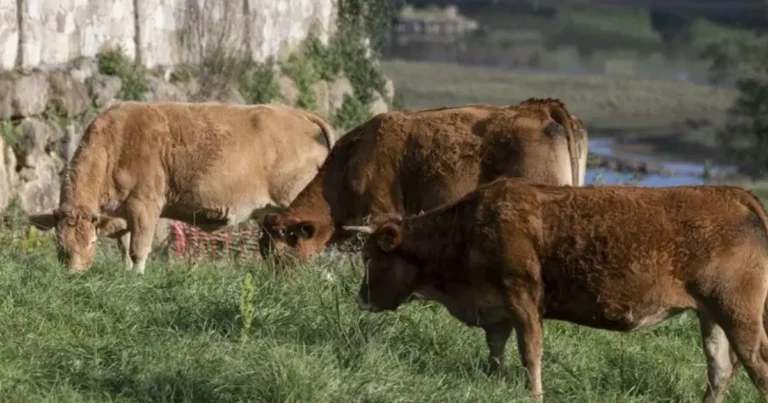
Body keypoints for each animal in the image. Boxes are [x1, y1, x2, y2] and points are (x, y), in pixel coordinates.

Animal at [27, 101, 336, 273]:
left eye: (91, 243)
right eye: (60, 245)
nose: (74, 275)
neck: (117, 144)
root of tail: (298, 115)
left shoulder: (145, 205)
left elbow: (139, 248)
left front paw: (136, 278)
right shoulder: (121, 213)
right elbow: (124, 247)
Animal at [344, 178, 768, 403]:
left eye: (371, 257)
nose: (360, 299)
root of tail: (731, 192)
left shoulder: (523, 298)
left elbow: (530, 353)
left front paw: (533, 394)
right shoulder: (496, 309)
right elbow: (495, 350)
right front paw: (494, 382)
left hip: (739, 314)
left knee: (755, 363)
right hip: (712, 315)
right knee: (720, 368)